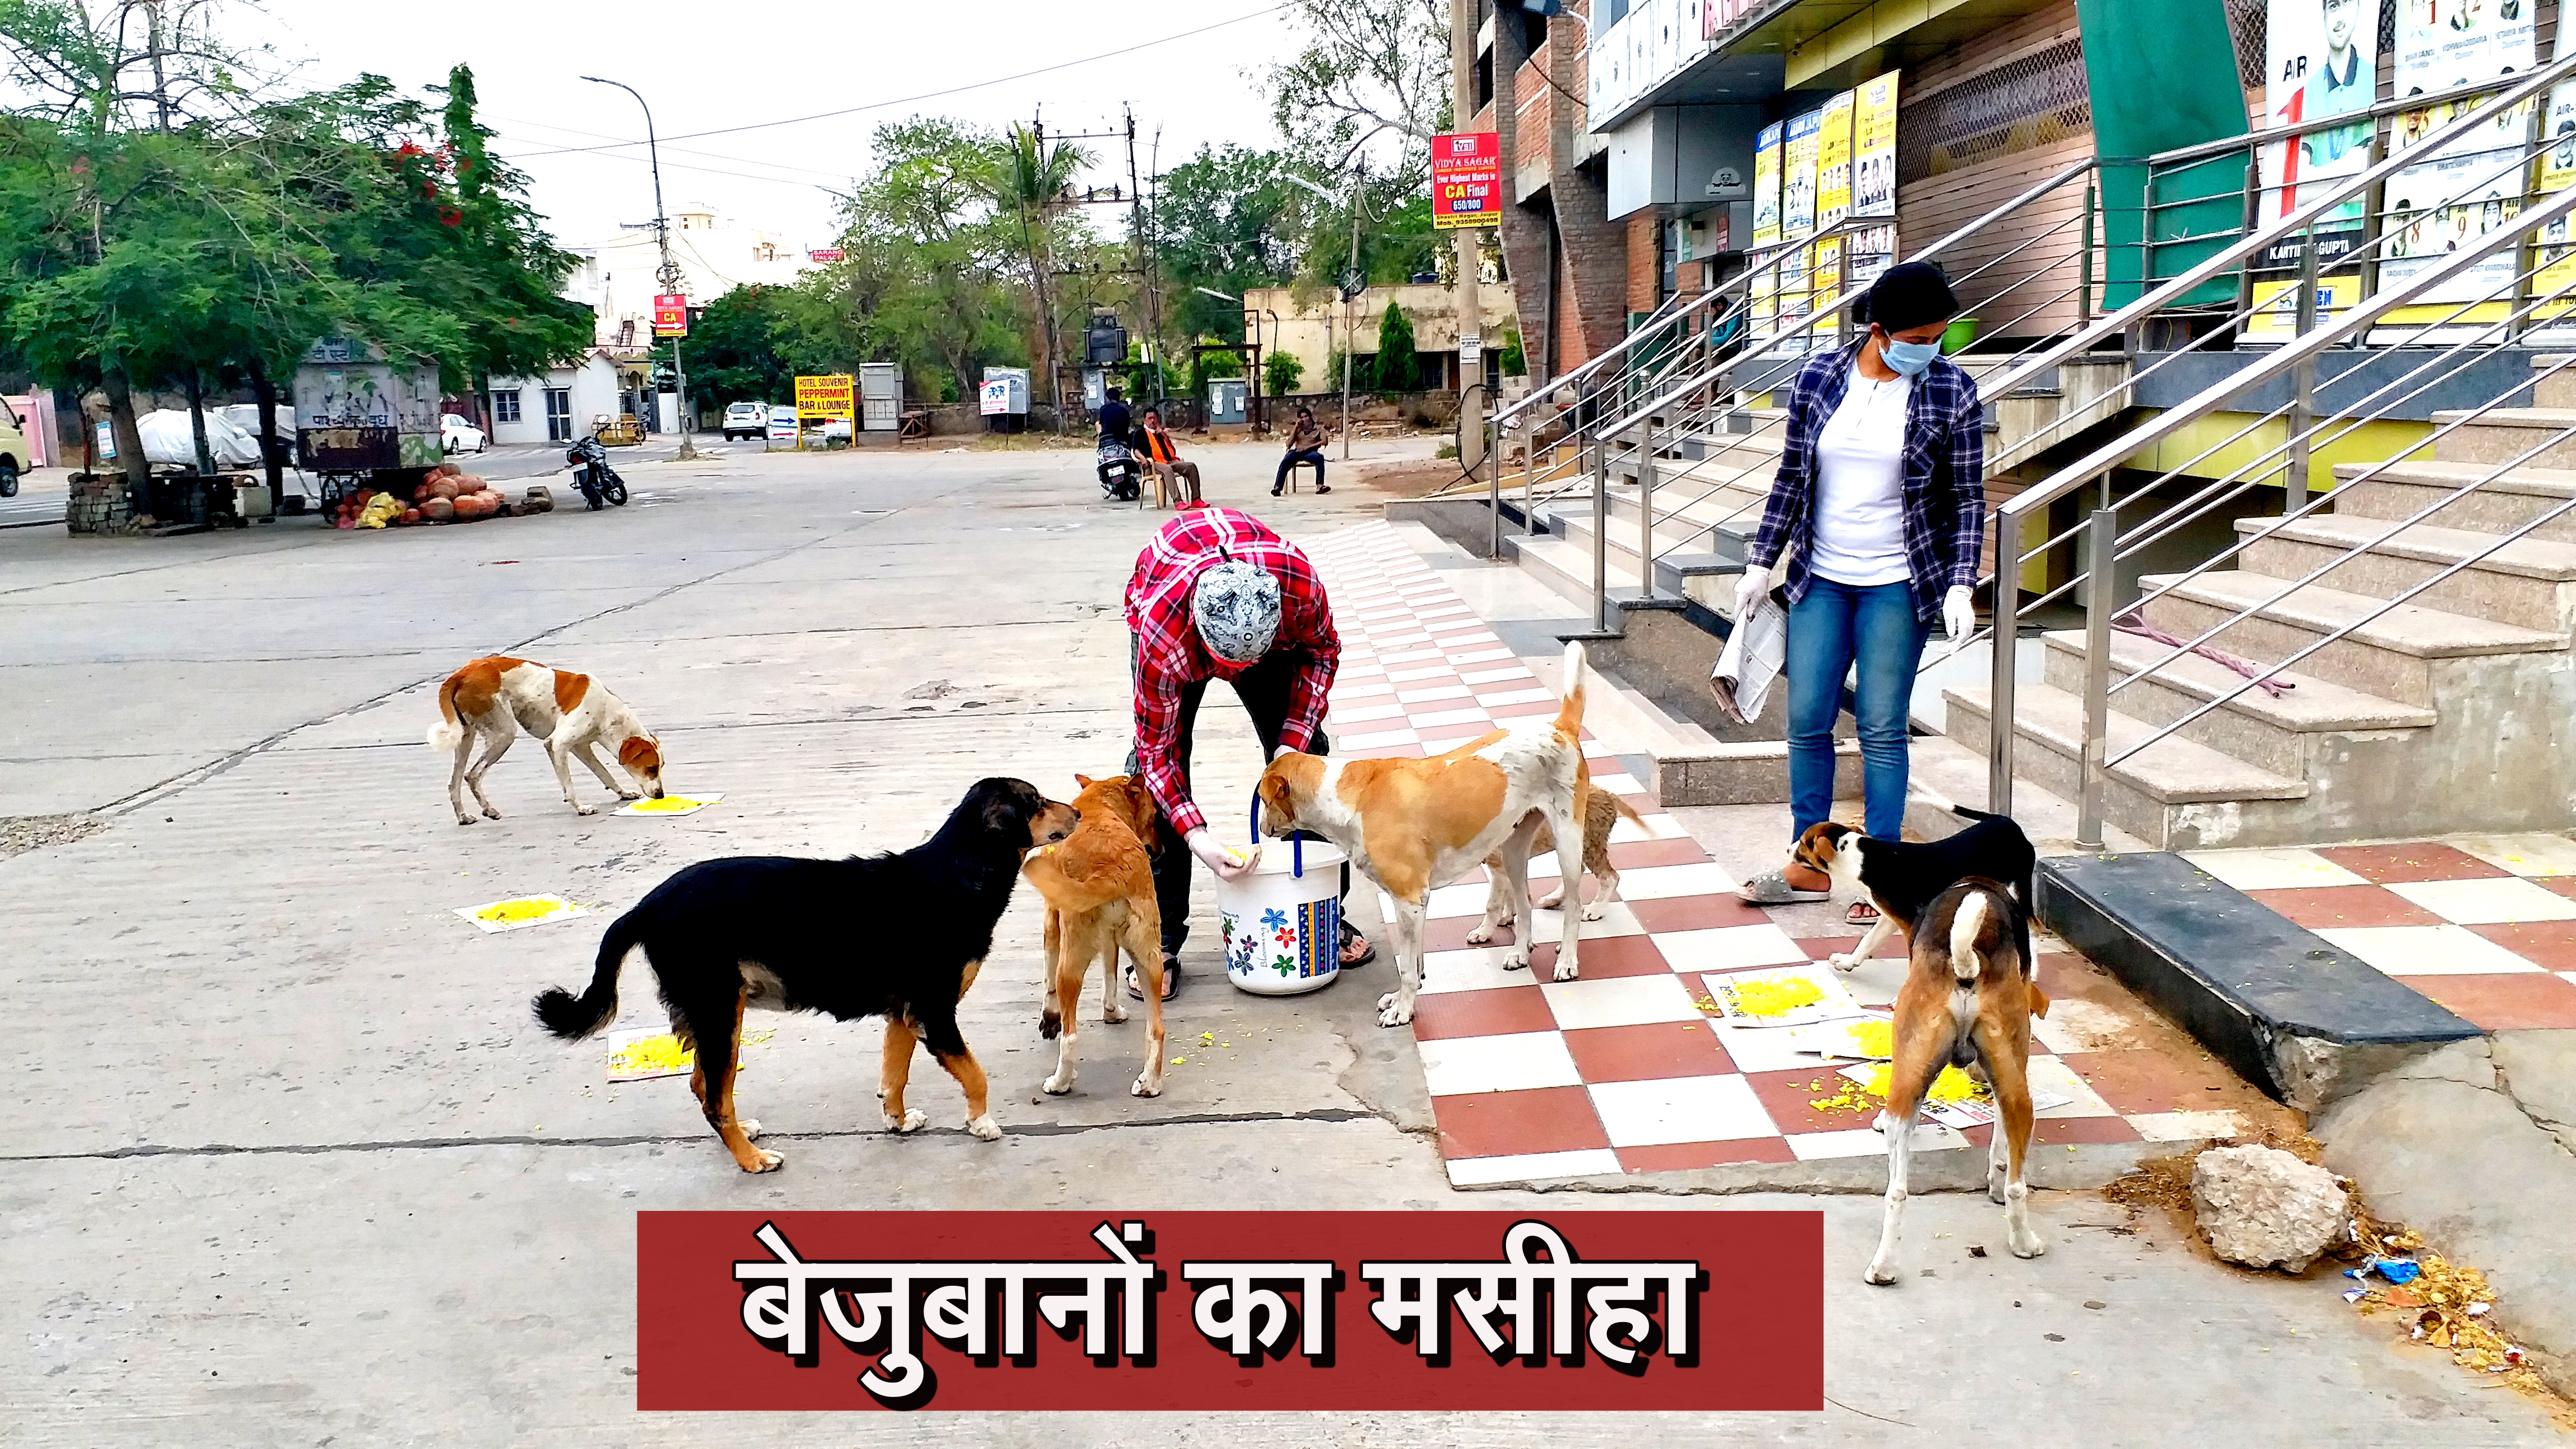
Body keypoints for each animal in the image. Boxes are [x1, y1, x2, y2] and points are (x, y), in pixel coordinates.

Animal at [427, 655, 664, 825]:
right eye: (651, 768)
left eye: (660, 768)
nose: (661, 795)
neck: (607, 711)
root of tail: (461, 673)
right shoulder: (557, 744)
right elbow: (569, 785)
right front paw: (581, 808)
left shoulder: (581, 747)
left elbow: (604, 774)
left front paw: (623, 793)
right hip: (504, 734)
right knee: (473, 775)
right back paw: (489, 809)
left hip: (465, 737)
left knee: (454, 783)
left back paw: (463, 817)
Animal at [533, 773, 1077, 1165]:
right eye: (1036, 801)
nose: (1075, 812)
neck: (957, 874)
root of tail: (647, 906)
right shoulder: (936, 1014)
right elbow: (976, 1076)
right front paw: (981, 1124)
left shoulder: (904, 1015)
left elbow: (894, 1077)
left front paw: (898, 1121)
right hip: (720, 1012)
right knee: (715, 1099)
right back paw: (752, 1160)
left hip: (714, 1017)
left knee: (704, 1086)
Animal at [1015, 778, 1169, 1093]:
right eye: (1155, 816)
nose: (1161, 851)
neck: (1099, 803)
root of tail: (1112, 871)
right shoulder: (1111, 941)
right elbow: (1110, 977)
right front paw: (1112, 1013)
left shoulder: (1052, 921)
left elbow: (1048, 982)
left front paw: (1049, 1019)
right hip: (1149, 960)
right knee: (1157, 1029)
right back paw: (1150, 1083)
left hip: (1070, 963)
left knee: (1070, 1035)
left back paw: (1060, 1081)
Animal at [1252, 637, 1587, 1021]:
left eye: (1263, 800)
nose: (1260, 827)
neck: (1349, 796)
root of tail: (1560, 728)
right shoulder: (1412, 903)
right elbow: (1413, 961)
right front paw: (1402, 1000)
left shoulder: (1410, 899)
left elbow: (1409, 970)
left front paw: (1402, 1009)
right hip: (1513, 850)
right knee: (1525, 901)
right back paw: (1520, 951)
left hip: (1567, 841)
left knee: (1574, 904)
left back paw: (1566, 961)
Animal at [1865, 877, 2061, 1278]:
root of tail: (1966, 967)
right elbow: (2001, 1149)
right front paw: (1996, 1181)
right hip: (2020, 1093)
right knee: (2017, 1185)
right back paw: (2023, 1242)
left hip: (1910, 1081)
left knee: (1897, 1191)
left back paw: (1883, 1267)